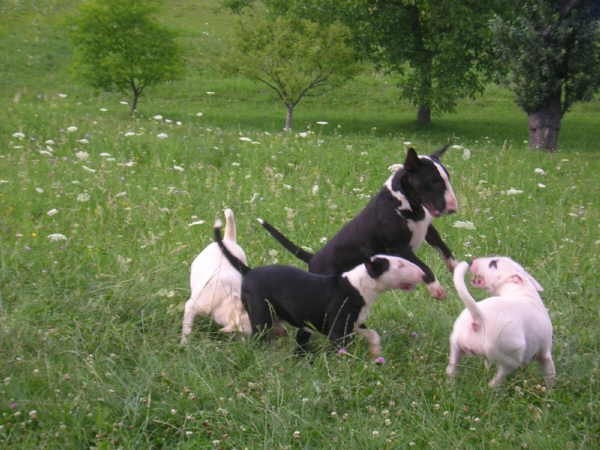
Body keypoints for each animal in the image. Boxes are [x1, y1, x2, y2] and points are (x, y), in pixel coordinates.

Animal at [213, 220, 424, 360]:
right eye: (400, 265)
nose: (422, 274)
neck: (359, 285)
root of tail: (249, 271)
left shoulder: (355, 323)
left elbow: (373, 334)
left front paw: (376, 353)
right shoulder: (338, 329)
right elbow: (341, 348)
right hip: (260, 314)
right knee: (258, 337)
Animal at [258, 147, 460, 298]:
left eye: (447, 178)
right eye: (433, 181)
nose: (453, 208)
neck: (404, 202)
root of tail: (313, 258)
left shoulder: (428, 230)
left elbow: (443, 247)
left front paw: (456, 268)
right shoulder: (399, 248)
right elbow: (424, 267)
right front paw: (436, 289)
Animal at [448, 256, 556, 386]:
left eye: (493, 264)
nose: (471, 261)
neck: (522, 291)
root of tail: (479, 318)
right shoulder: (544, 352)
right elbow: (549, 371)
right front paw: (551, 389)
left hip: (455, 345)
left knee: (451, 369)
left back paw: (451, 384)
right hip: (510, 357)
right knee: (497, 379)